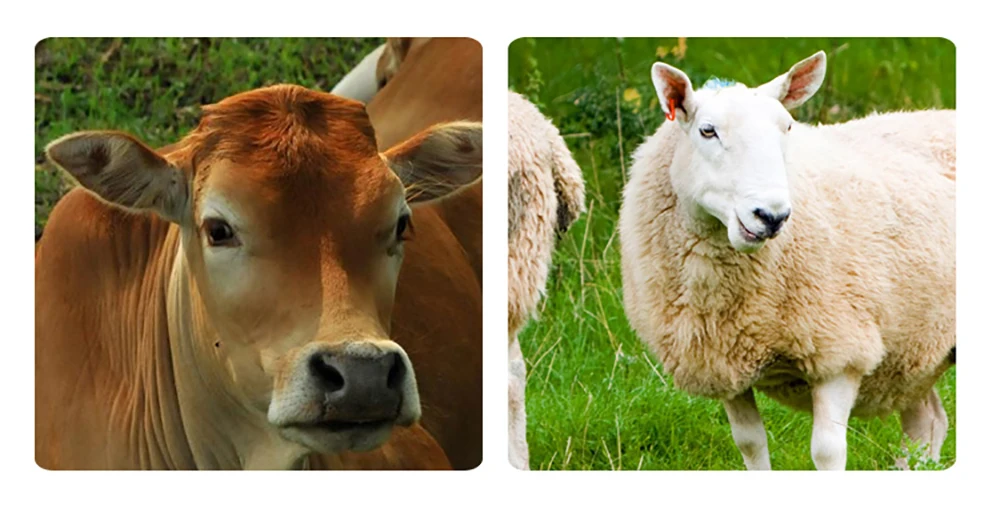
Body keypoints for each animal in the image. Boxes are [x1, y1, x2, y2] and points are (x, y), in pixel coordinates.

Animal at [618, 51, 955, 470]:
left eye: (788, 126)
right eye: (707, 131)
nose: (771, 216)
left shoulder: (839, 351)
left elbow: (827, 452)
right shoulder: (722, 361)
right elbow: (749, 443)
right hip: (916, 350)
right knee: (927, 423)